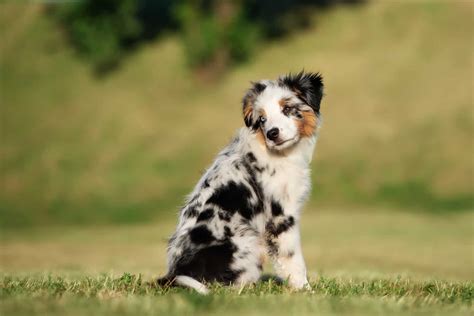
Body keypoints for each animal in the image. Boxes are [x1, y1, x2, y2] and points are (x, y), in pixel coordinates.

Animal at [157, 71, 324, 294]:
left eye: (287, 108)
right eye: (262, 119)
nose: (272, 133)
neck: (280, 154)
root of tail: (175, 274)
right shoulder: (281, 218)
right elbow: (293, 259)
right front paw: (306, 291)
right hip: (247, 241)